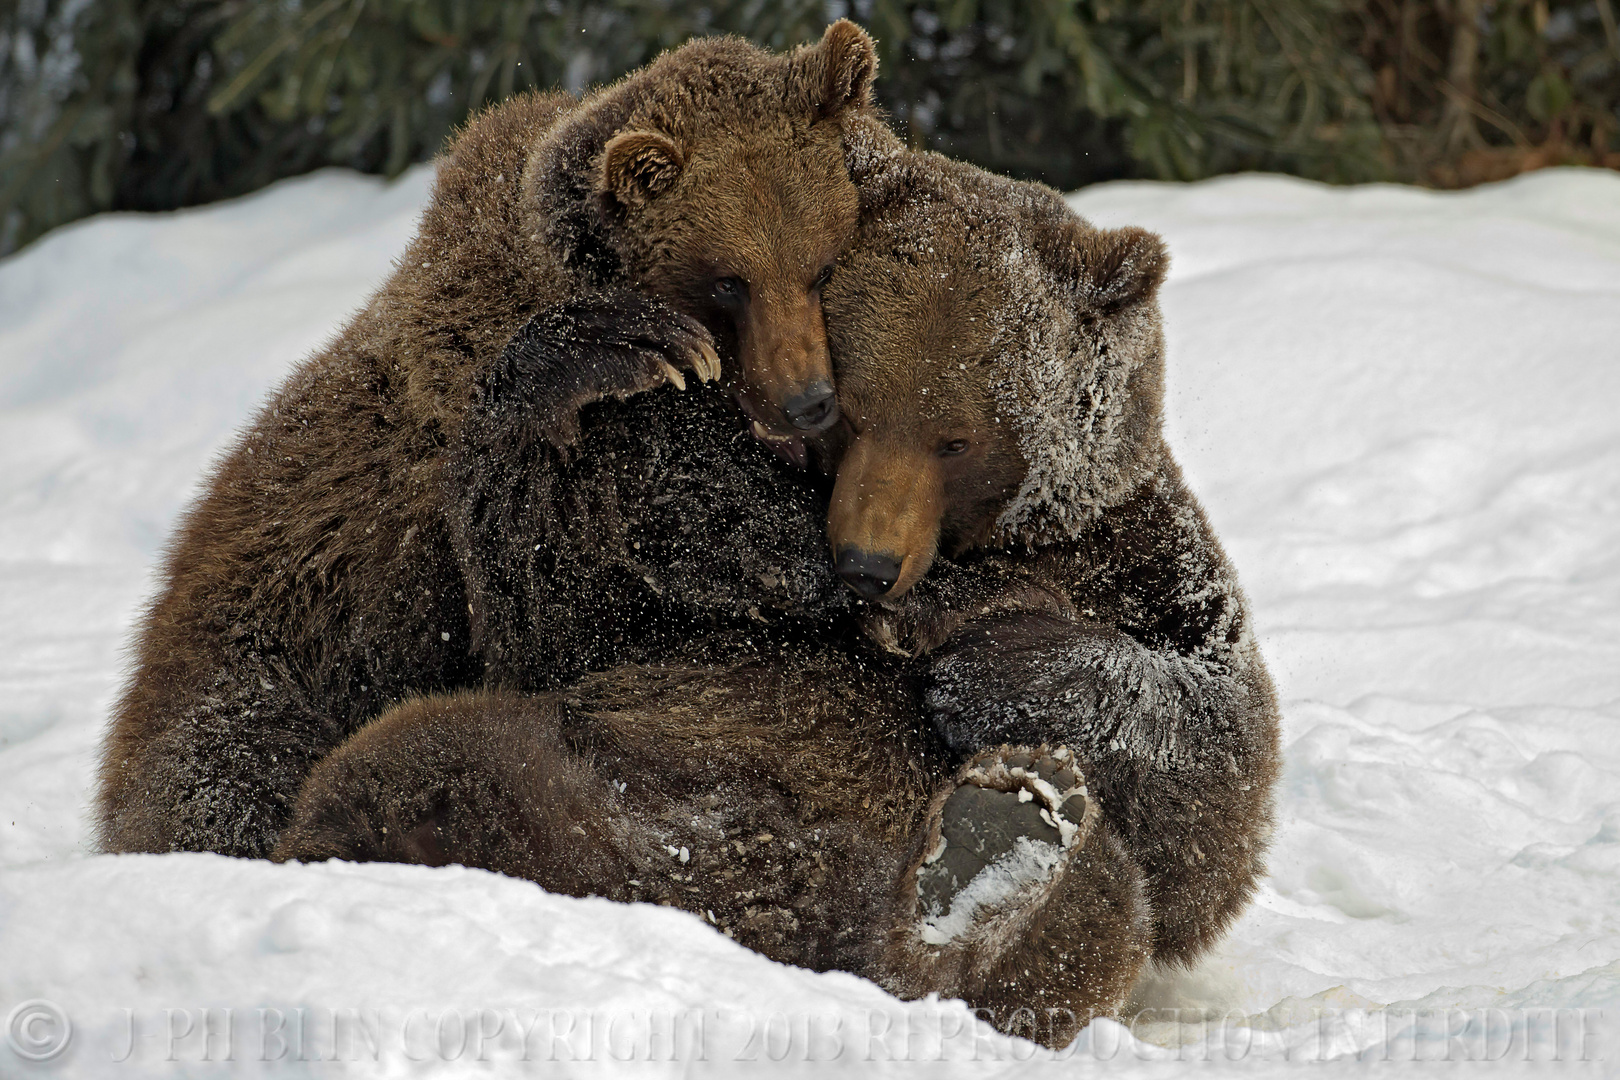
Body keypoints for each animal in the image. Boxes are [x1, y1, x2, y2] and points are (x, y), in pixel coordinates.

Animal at [96, 21, 894, 854]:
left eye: (820, 263)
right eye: (728, 281)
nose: (807, 401)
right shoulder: (580, 460)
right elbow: (561, 610)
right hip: (265, 671)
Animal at [275, 135, 1276, 1049]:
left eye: (956, 438)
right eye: (849, 412)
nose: (866, 564)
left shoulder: (1130, 547)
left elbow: (1214, 779)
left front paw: (993, 661)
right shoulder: (654, 549)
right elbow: (558, 608)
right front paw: (590, 354)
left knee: (1101, 907)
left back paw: (998, 852)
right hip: (546, 764)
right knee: (406, 772)